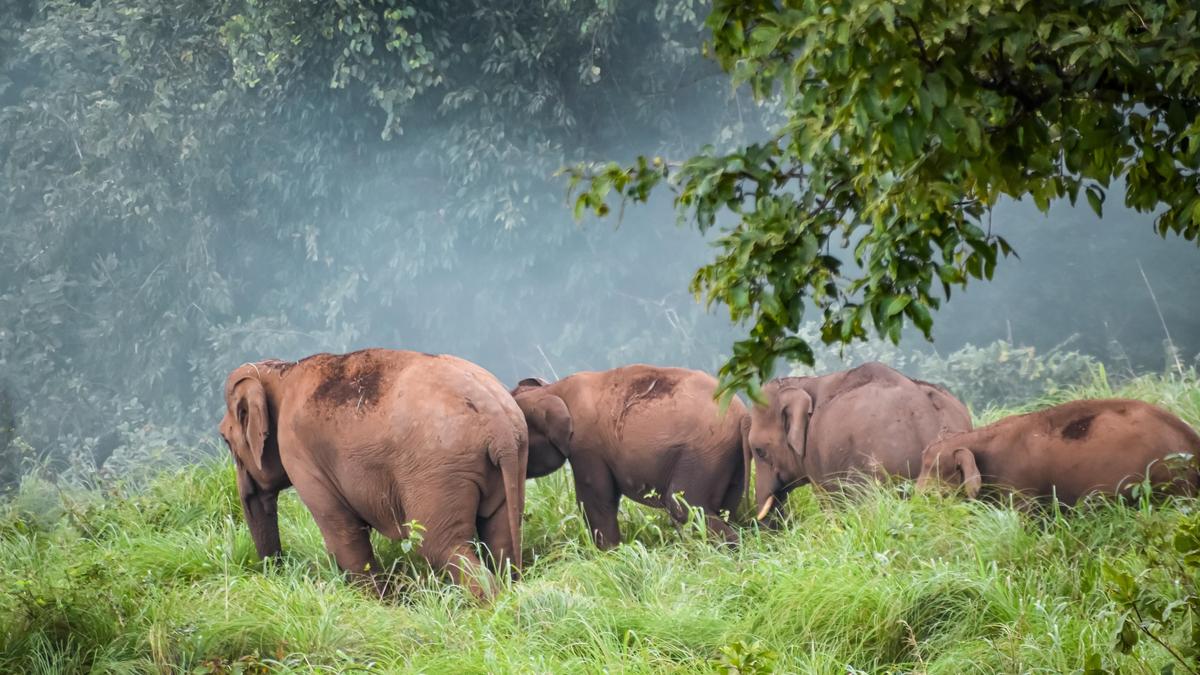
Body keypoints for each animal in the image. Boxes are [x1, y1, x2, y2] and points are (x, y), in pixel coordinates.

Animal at [218, 348, 528, 595]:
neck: (282, 372)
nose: (275, 574)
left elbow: (342, 533)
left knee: (440, 545)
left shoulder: (300, 455)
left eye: (224, 439)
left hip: (440, 471)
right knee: (499, 538)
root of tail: (501, 428)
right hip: (506, 465)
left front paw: (378, 603)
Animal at [508, 362, 748, 547]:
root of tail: (743, 415)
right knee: (725, 507)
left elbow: (596, 502)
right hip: (729, 458)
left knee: (682, 505)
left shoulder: (586, 446)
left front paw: (608, 554)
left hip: (703, 451)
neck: (555, 388)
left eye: (521, 442)